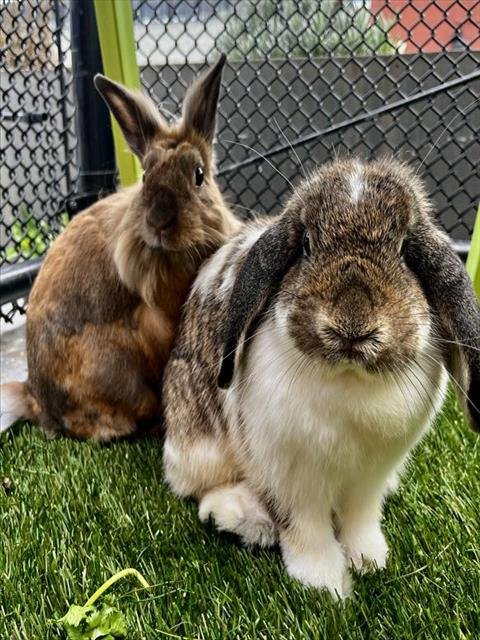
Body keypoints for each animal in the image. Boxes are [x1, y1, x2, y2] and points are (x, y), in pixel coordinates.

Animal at [162, 157, 480, 599]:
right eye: (307, 245)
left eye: (404, 251)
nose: (352, 326)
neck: (349, 380)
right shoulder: (293, 480)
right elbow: (306, 531)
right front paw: (325, 584)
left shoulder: (368, 479)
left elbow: (360, 521)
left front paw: (371, 561)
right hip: (198, 446)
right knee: (199, 487)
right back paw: (241, 518)